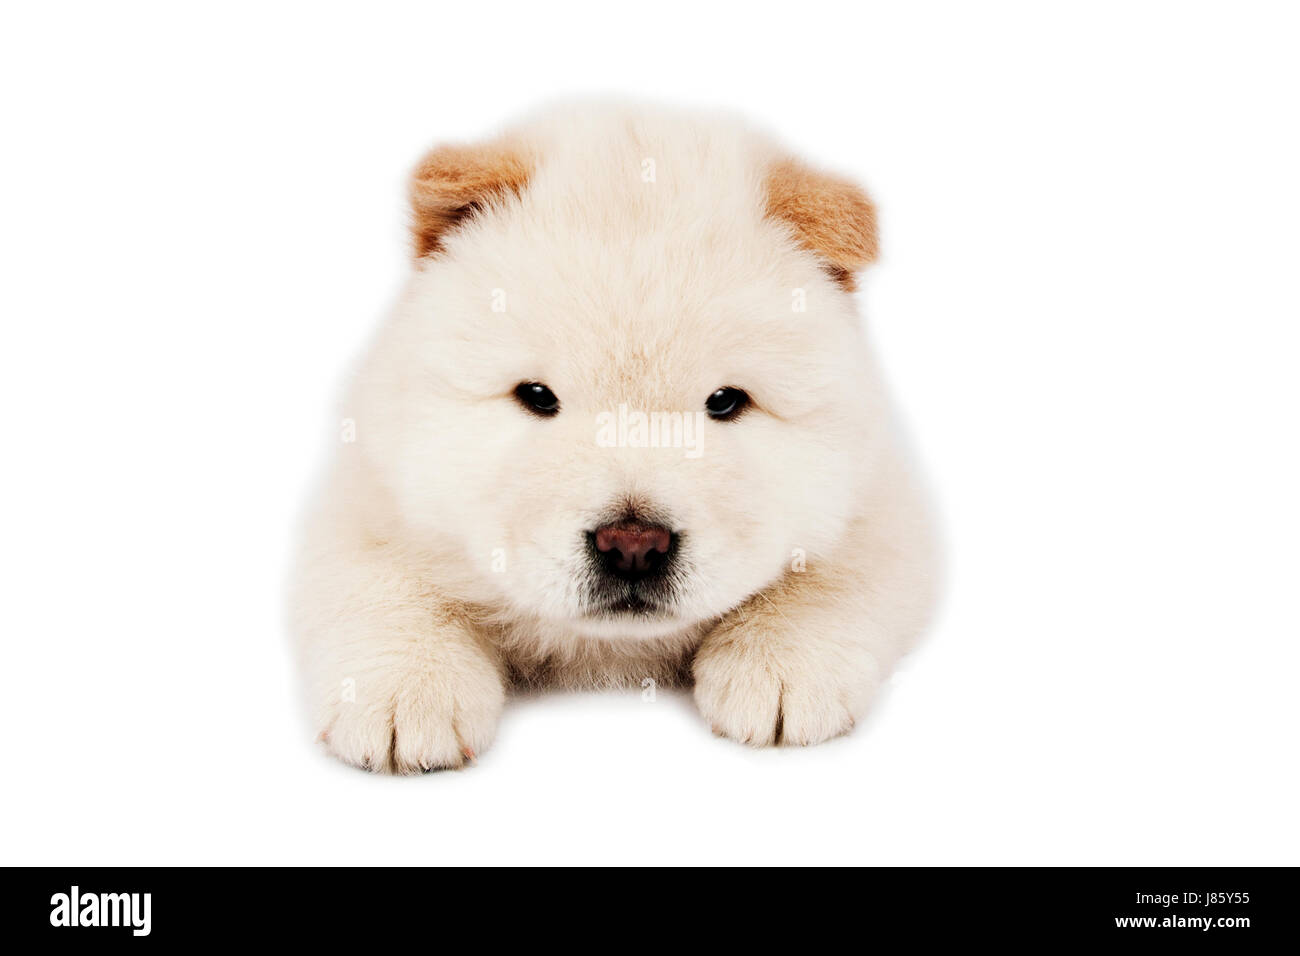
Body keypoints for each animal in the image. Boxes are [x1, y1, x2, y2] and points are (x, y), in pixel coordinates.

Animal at [295, 102, 935, 770]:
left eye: (725, 402)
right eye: (537, 396)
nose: (633, 544)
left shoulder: (879, 497)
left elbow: (832, 574)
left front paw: (780, 668)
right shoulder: (370, 492)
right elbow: (383, 582)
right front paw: (404, 694)